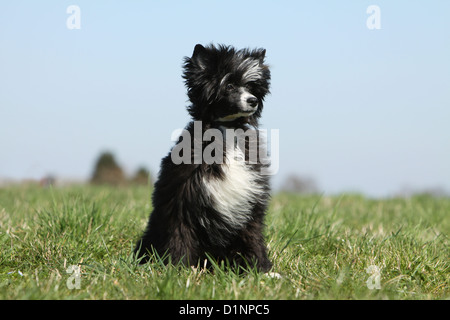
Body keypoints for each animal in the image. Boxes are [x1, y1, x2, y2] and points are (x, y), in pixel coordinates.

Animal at [134, 43, 272, 272]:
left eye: (251, 86)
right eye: (229, 85)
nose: (252, 100)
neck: (226, 130)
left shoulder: (250, 204)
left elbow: (253, 238)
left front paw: (260, 270)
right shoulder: (181, 203)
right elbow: (180, 238)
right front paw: (179, 270)